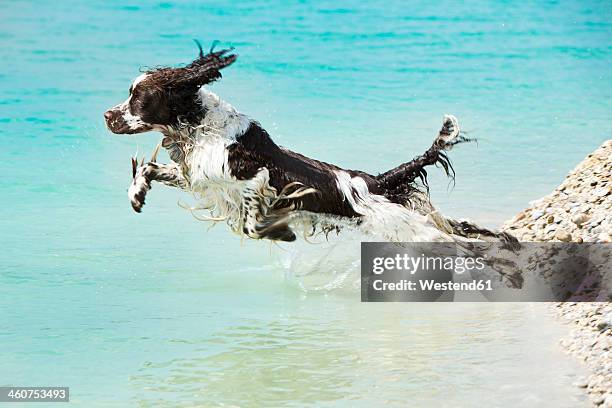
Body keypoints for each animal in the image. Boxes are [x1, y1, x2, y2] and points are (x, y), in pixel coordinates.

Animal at [105, 43, 512, 244]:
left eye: (137, 99)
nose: (107, 116)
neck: (201, 126)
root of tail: (377, 181)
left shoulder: (255, 178)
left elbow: (252, 219)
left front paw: (279, 231)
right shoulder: (195, 175)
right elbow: (149, 167)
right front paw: (136, 194)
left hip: (405, 225)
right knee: (461, 229)